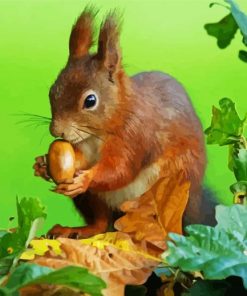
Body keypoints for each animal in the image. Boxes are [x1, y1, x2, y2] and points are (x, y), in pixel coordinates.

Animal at [33, 8, 216, 238]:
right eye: (52, 90)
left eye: (90, 101)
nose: (56, 131)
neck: (98, 134)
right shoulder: (85, 146)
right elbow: (81, 160)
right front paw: (42, 164)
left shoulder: (134, 134)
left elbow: (120, 169)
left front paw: (85, 179)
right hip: (93, 198)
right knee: (101, 223)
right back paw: (74, 230)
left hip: (179, 190)